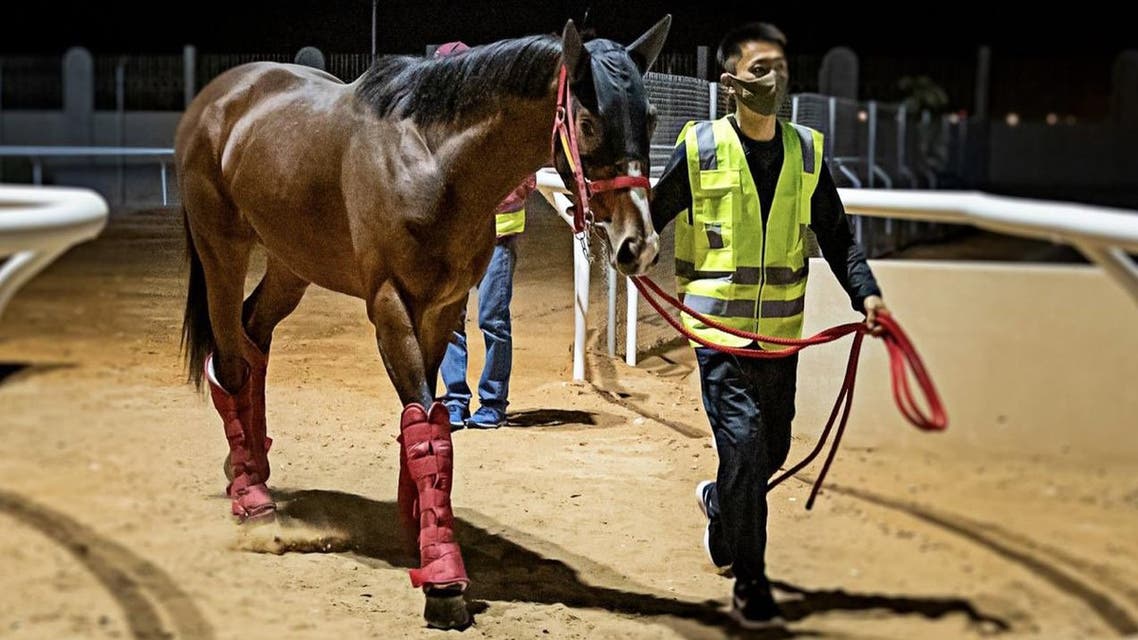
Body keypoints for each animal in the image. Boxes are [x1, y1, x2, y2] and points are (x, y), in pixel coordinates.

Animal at [175, 16, 664, 628]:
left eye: (650, 118)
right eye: (589, 122)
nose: (639, 246)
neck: (433, 162)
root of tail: (220, 96)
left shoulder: (443, 307)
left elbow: (428, 415)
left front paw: (415, 520)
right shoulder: (391, 306)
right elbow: (428, 431)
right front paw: (443, 580)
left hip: (291, 263)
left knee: (253, 339)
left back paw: (254, 470)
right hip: (223, 251)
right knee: (232, 363)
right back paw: (250, 494)